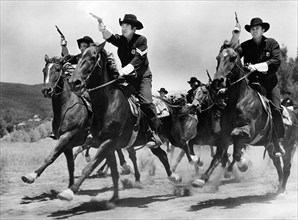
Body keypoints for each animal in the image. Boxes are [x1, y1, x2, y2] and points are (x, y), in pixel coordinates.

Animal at [59, 42, 196, 202]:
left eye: (93, 57)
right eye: (78, 57)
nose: (74, 82)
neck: (109, 104)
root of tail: (169, 105)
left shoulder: (109, 142)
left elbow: (91, 166)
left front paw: (70, 191)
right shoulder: (106, 144)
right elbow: (113, 171)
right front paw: (114, 197)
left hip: (173, 136)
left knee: (184, 144)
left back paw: (195, 162)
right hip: (152, 142)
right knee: (162, 154)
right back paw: (174, 176)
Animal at [197, 41, 296, 192]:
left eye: (233, 58)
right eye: (217, 58)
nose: (217, 81)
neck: (239, 100)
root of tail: (294, 115)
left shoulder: (248, 132)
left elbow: (236, 144)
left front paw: (242, 164)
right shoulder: (224, 135)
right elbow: (219, 156)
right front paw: (202, 179)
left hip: (289, 146)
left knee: (287, 167)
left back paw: (281, 190)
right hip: (270, 147)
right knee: (278, 165)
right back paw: (279, 187)